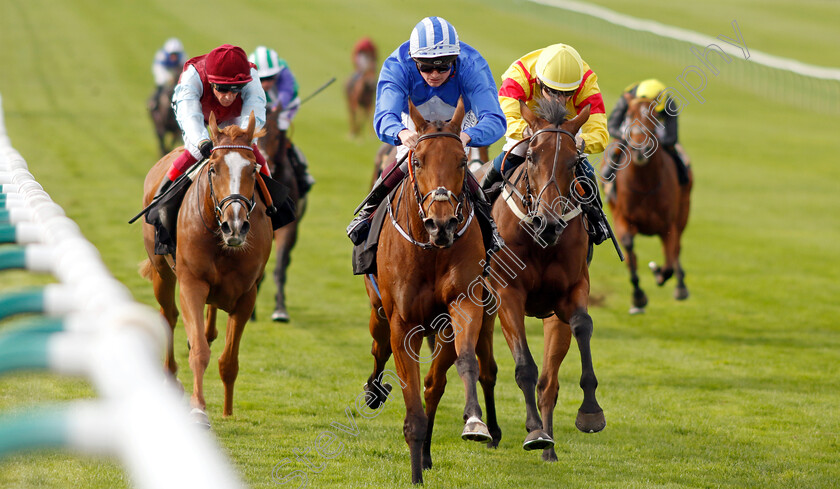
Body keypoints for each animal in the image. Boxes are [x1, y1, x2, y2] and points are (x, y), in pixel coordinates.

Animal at [140, 112, 272, 426]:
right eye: (213, 168)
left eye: (253, 169)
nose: (234, 225)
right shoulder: (192, 283)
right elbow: (199, 349)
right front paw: (199, 408)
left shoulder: (247, 295)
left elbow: (228, 359)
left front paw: (227, 409)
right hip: (162, 272)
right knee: (169, 317)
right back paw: (170, 377)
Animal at [360, 97, 498, 482]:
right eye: (418, 160)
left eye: (462, 161)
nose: (442, 224)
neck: (431, 251)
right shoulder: (402, 322)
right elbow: (411, 401)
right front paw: (415, 474)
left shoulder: (462, 306)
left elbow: (462, 365)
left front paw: (474, 421)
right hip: (379, 311)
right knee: (378, 349)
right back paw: (374, 390)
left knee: (435, 384)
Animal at [482, 99, 608, 462]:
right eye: (531, 156)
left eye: (574, 161)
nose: (548, 223)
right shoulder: (507, 293)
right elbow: (525, 366)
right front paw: (535, 431)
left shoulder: (570, 292)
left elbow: (582, 325)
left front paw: (590, 412)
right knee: (484, 366)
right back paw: (488, 431)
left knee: (549, 383)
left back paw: (549, 448)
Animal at [608, 97, 692, 314]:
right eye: (629, 115)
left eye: (655, 116)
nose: (640, 149)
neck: (644, 184)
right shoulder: (621, 217)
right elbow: (629, 250)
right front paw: (638, 297)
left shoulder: (668, 226)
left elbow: (669, 263)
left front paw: (658, 272)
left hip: (684, 212)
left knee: (677, 249)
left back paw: (680, 286)